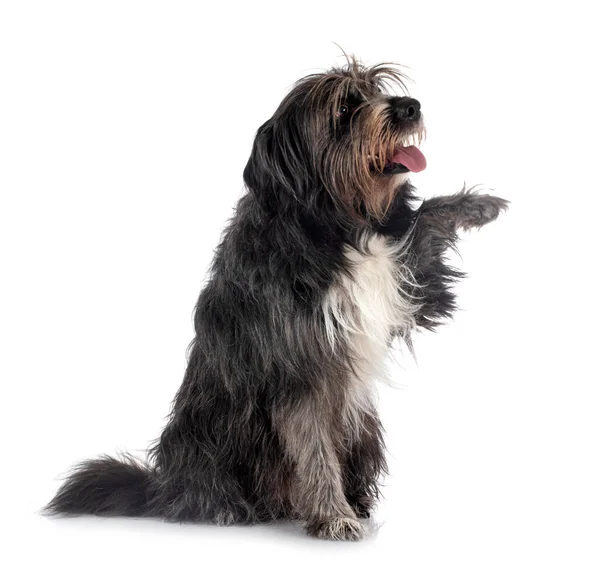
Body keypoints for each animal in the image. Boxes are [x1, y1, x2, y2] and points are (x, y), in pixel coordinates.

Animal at [44, 55, 508, 540]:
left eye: (378, 88)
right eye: (344, 110)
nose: (410, 107)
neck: (338, 226)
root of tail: (163, 487)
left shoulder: (401, 285)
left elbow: (426, 223)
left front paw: (477, 205)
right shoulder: (298, 369)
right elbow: (314, 447)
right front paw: (334, 516)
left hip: (364, 428)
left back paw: (356, 501)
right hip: (214, 438)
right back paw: (228, 508)